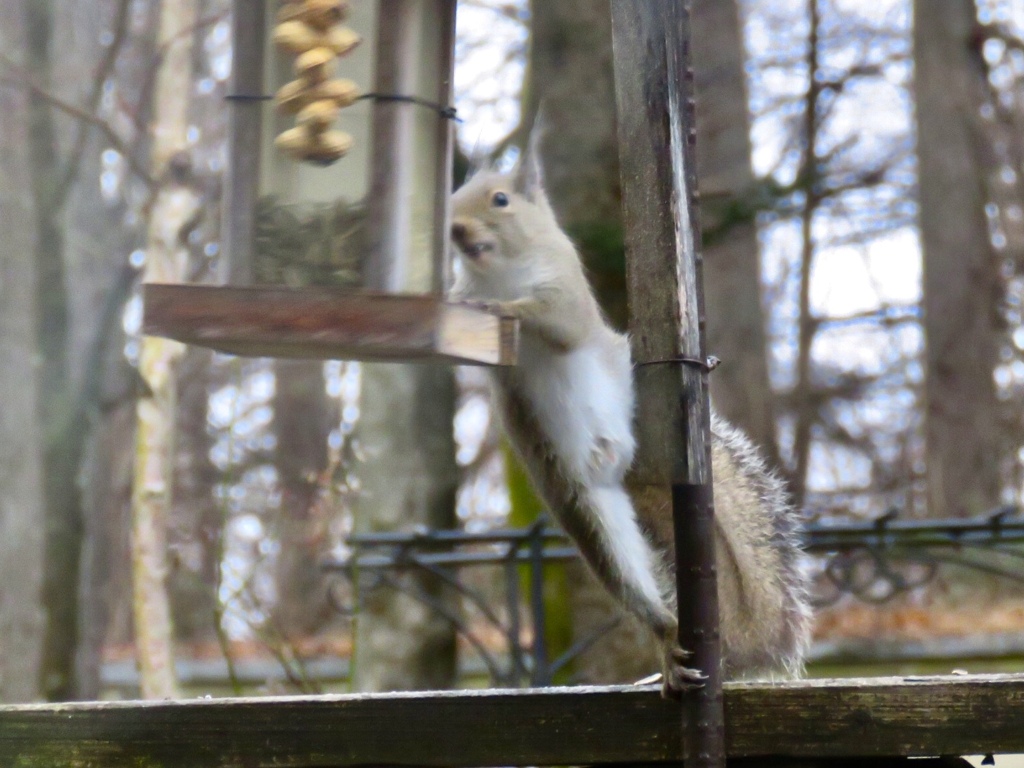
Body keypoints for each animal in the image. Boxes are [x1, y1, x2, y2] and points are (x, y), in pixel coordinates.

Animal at [448, 132, 806, 696]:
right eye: (451, 201)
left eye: (500, 199)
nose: (455, 230)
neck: (498, 272)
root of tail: (627, 466)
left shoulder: (566, 284)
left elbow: (557, 319)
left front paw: (506, 309)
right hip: (584, 505)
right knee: (625, 572)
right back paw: (665, 637)